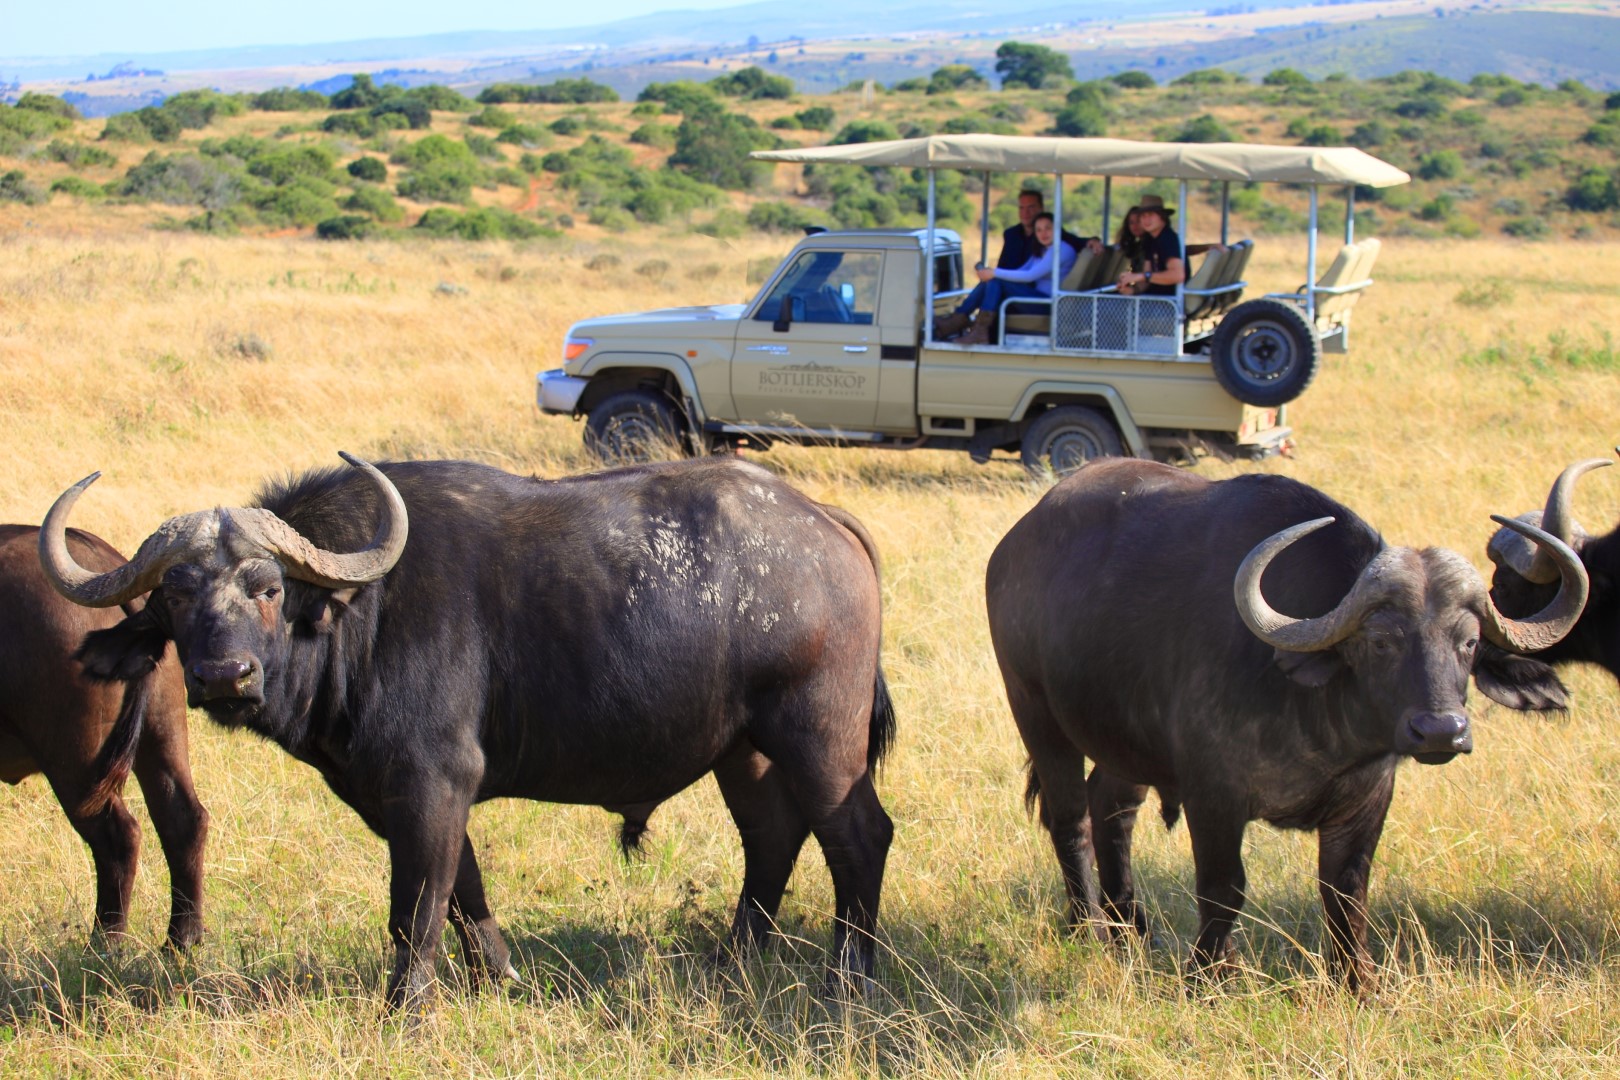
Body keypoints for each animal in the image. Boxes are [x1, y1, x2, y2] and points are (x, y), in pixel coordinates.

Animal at [0, 525, 206, 949]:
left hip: (76, 761)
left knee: (118, 838)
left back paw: (104, 945)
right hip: (160, 732)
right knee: (183, 820)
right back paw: (180, 942)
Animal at [39, 454, 894, 1006]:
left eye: (268, 587)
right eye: (176, 596)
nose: (224, 676)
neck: (361, 615)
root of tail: (824, 524)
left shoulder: (430, 782)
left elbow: (416, 904)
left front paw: (406, 1006)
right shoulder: (401, 796)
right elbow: (464, 890)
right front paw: (497, 978)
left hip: (819, 737)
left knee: (858, 835)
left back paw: (848, 975)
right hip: (743, 750)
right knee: (772, 836)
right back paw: (733, 958)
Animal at [986, 459, 1586, 989]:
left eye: (1469, 643)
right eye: (1381, 641)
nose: (1441, 731)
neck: (1318, 723)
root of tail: (1014, 547)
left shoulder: (1367, 797)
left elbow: (1346, 889)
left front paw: (1357, 982)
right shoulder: (1214, 795)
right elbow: (1224, 886)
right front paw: (1210, 975)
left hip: (1126, 742)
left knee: (1112, 809)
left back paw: (1130, 930)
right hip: (1035, 712)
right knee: (1071, 819)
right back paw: (1085, 926)